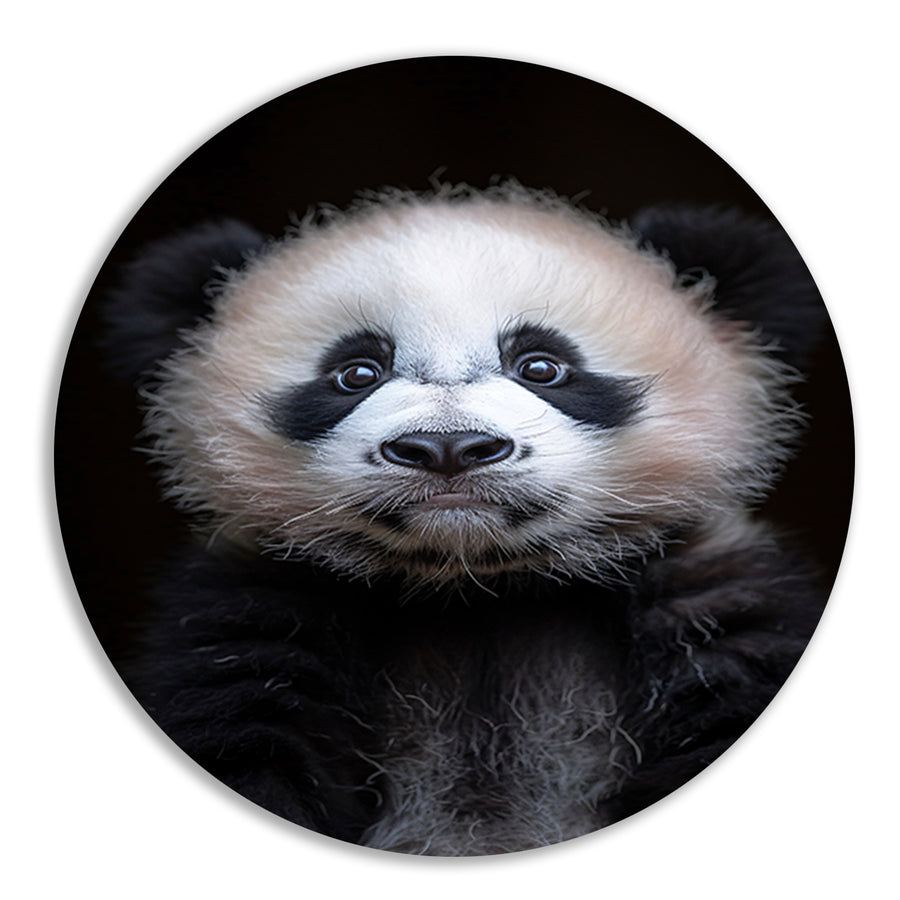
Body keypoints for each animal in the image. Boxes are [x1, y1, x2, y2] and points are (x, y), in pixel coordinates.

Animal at [103, 183, 827, 856]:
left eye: (542, 366)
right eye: (355, 373)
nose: (448, 447)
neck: (478, 591)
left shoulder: (710, 609)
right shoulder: (254, 620)